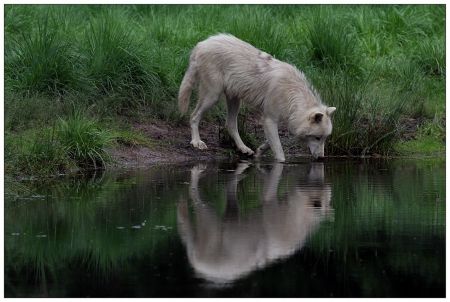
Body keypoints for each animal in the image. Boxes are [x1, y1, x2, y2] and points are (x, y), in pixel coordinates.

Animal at [178, 33, 336, 162]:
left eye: (325, 138)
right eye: (317, 137)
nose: (321, 158)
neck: (291, 93)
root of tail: (201, 44)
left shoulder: (285, 120)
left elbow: (272, 141)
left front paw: (259, 150)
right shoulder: (269, 119)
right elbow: (280, 154)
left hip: (235, 100)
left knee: (230, 125)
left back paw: (244, 148)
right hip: (212, 96)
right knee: (194, 116)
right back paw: (196, 142)